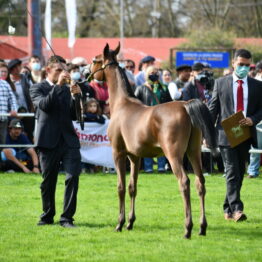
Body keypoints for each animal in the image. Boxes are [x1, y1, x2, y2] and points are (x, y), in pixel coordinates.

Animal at [90, 43, 217, 237]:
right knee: (200, 183)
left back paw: (188, 228)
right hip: (194, 152)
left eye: (95, 60)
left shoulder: (118, 153)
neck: (122, 104)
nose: (87, 74)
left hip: (174, 155)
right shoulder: (135, 157)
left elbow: (121, 187)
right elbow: (132, 187)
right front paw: (130, 222)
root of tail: (185, 105)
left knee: (184, 182)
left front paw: (120, 223)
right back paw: (202, 227)